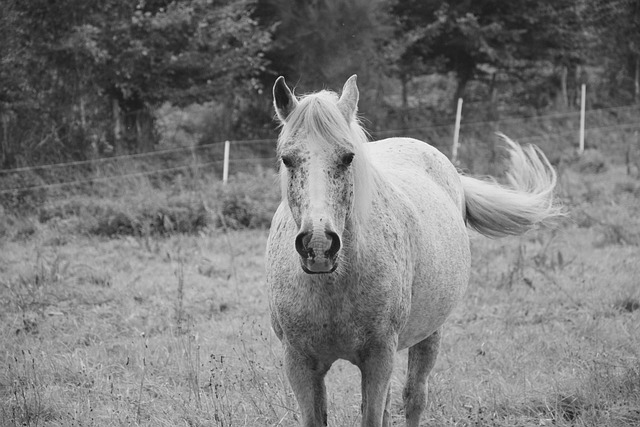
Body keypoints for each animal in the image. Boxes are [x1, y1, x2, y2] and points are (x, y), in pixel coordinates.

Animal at [268, 75, 564, 426]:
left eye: (348, 157)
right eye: (287, 159)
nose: (318, 244)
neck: (332, 286)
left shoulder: (378, 357)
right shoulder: (300, 363)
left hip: (429, 335)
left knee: (413, 399)